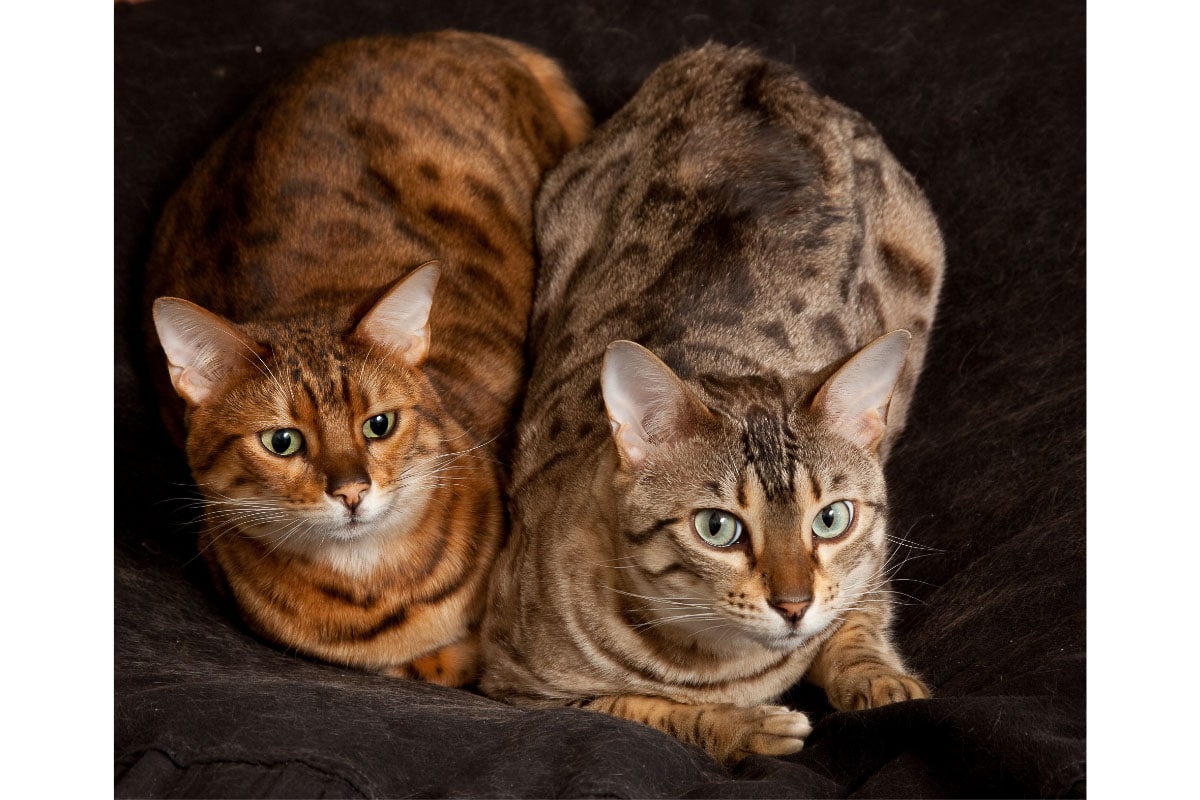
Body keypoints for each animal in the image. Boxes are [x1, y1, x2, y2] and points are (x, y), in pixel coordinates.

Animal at [480, 45, 945, 762]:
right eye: (718, 528)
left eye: (832, 519)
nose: (793, 604)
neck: (725, 664)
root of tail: (746, 60)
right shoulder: (515, 685)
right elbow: (643, 708)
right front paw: (744, 725)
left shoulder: (867, 575)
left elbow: (859, 623)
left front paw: (882, 682)